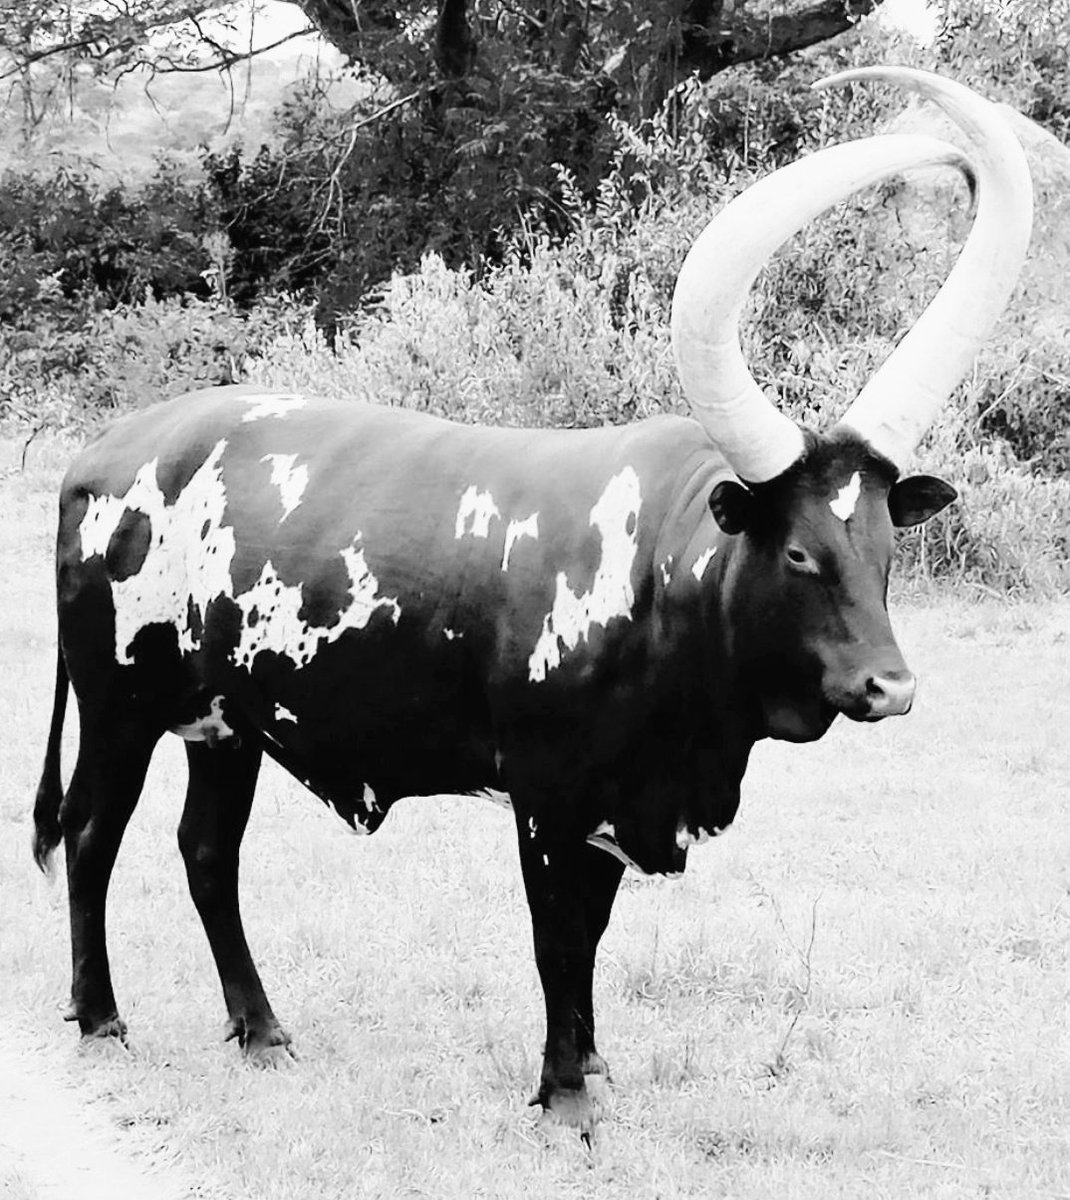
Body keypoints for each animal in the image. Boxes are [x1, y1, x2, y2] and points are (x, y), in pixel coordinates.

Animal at [33, 67, 1031, 1134]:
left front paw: (589, 1066)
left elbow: (589, 934)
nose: (891, 687)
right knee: (93, 836)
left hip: (225, 725)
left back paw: (261, 1030)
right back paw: (101, 1018)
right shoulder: (550, 797)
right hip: (119, 706)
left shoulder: (617, 804)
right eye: (800, 551)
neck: (660, 580)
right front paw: (565, 1097)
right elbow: (558, 937)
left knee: (207, 854)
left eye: (886, 547)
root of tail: (98, 456)